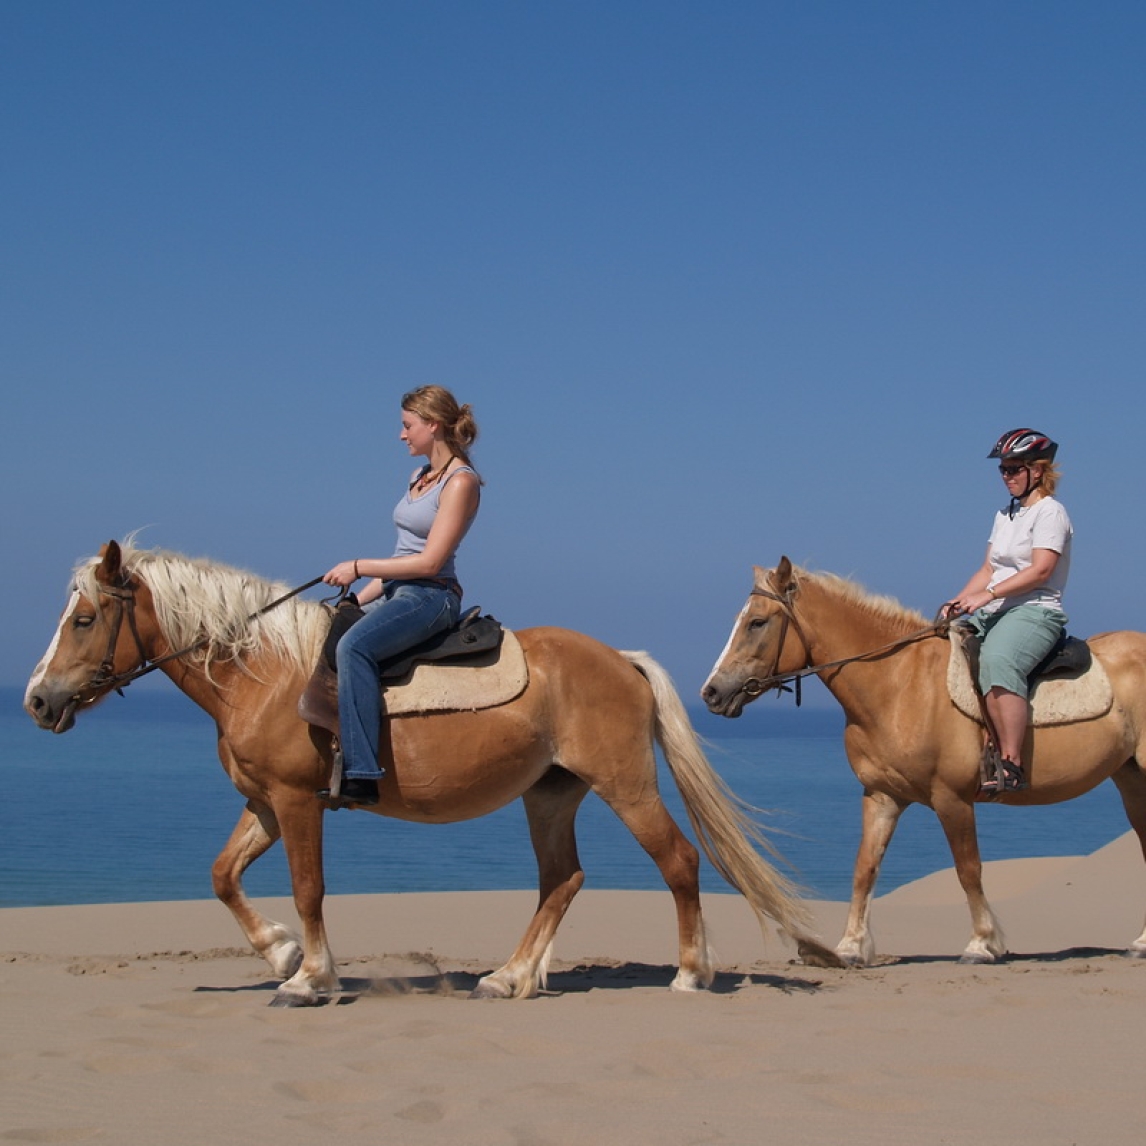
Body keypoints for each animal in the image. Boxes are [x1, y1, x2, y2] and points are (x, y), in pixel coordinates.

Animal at [24, 539, 838, 1006]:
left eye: (85, 620)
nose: (35, 699)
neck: (264, 672)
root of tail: (621, 659)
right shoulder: (264, 805)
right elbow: (223, 875)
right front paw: (281, 951)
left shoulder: (296, 803)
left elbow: (309, 888)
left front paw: (312, 977)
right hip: (550, 795)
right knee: (562, 879)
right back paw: (511, 976)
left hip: (626, 785)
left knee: (677, 861)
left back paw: (691, 973)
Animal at [701, 557, 1146, 967]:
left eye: (757, 622)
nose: (711, 692)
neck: (899, 684)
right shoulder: (881, 796)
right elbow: (864, 869)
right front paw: (850, 947)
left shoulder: (952, 799)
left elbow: (968, 869)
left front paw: (982, 943)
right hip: (1129, 778)